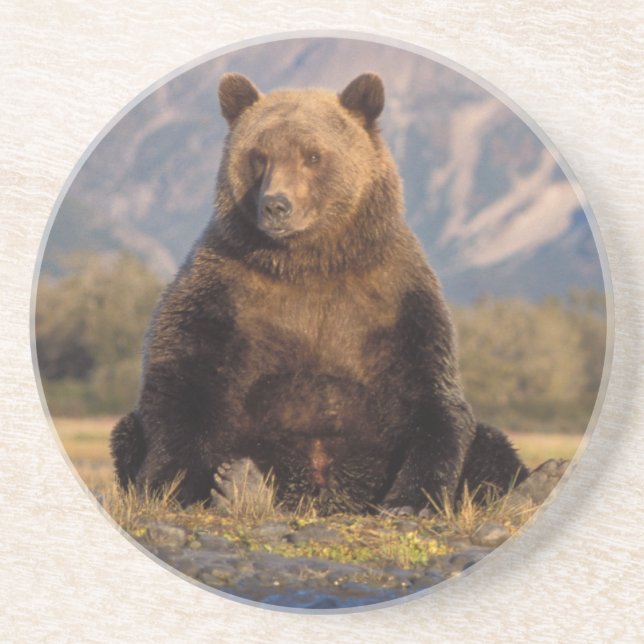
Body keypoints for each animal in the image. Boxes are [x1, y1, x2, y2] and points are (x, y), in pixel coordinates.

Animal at [110, 72, 528, 515]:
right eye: (259, 155)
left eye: (312, 155)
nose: (276, 205)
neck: (309, 262)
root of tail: (326, 499)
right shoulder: (223, 288)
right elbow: (182, 377)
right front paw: (172, 486)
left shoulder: (396, 296)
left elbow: (430, 394)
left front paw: (410, 501)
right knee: (127, 431)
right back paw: (242, 485)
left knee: (492, 446)